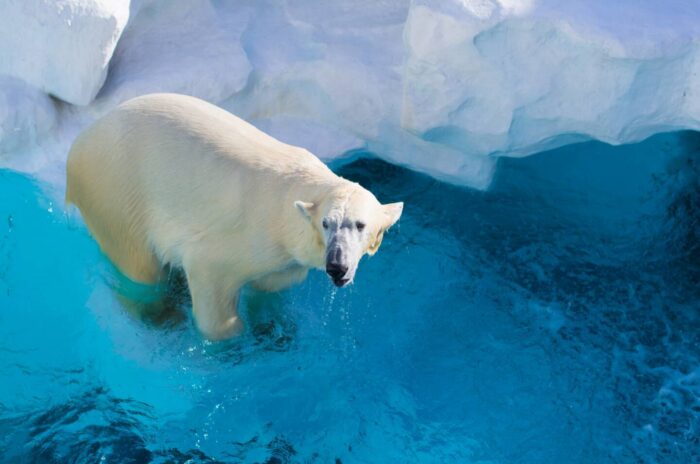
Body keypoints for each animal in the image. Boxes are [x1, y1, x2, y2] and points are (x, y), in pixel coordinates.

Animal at [67, 93, 404, 340]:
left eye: (360, 225)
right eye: (326, 223)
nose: (337, 266)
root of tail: (77, 148)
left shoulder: (284, 260)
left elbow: (272, 286)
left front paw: (272, 326)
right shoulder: (241, 239)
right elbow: (211, 280)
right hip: (118, 193)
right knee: (140, 268)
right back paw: (162, 315)